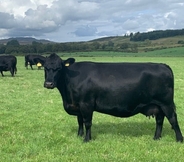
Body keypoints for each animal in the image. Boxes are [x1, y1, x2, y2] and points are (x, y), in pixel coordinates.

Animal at [43, 52, 183, 142]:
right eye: (45, 68)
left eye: (59, 68)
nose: (49, 84)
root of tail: (163, 65)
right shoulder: (78, 105)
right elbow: (80, 121)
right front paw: (79, 136)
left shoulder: (86, 104)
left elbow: (87, 122)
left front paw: (87, 139)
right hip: (158, 105)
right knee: (160, 120)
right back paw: (156, 138)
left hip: (166, 103)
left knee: (173, 119)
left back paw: (179, 140)